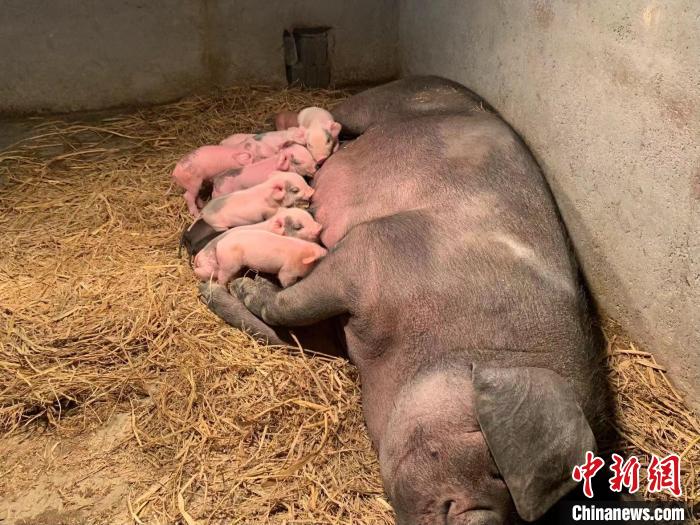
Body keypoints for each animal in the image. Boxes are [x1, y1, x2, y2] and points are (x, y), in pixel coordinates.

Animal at [197, 78, 612, 524]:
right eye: (496, 469)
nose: (484, 519)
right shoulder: (374, 251)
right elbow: (295, 304)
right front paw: (244, 287)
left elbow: (291, 336)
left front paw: (227, 291)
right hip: (376, 104)